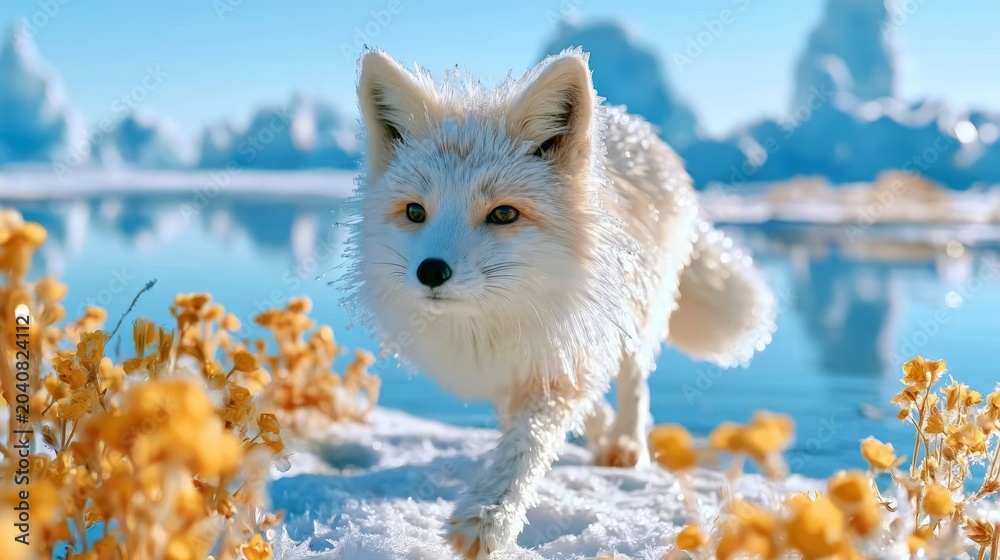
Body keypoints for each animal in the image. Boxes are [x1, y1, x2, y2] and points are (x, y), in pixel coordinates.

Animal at [343, 48, 775, 558]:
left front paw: (489, 518)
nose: (431, 272)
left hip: (640, 309)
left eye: (503, 214)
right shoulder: (521, 365)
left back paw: (626, 445)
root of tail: (630, 123)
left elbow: (527, 443)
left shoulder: (564, 351)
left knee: (634, 380)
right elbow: (543, 415)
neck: (492, 325)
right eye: (415, 211)